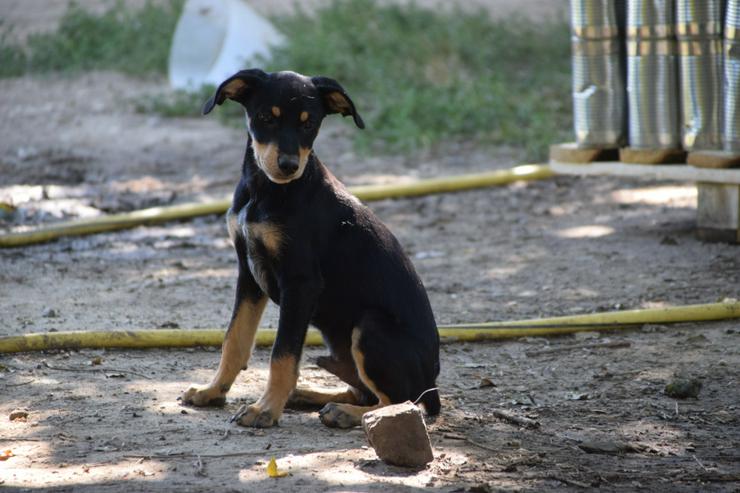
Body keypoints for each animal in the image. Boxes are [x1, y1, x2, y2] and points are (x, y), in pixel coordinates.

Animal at [184, 69, 440, 426]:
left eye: (310, 124)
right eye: (267, 117)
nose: (289, 165)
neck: (265, 193)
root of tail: (434, 385)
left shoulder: (300, 283)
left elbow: (283, 354)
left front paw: (265, 409)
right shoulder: (248, 273)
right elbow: (234, 340)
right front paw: (213, 391)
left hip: (371, 327)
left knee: (402, 402)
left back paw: (345, 413)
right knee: (365, 391)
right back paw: (309, 396)